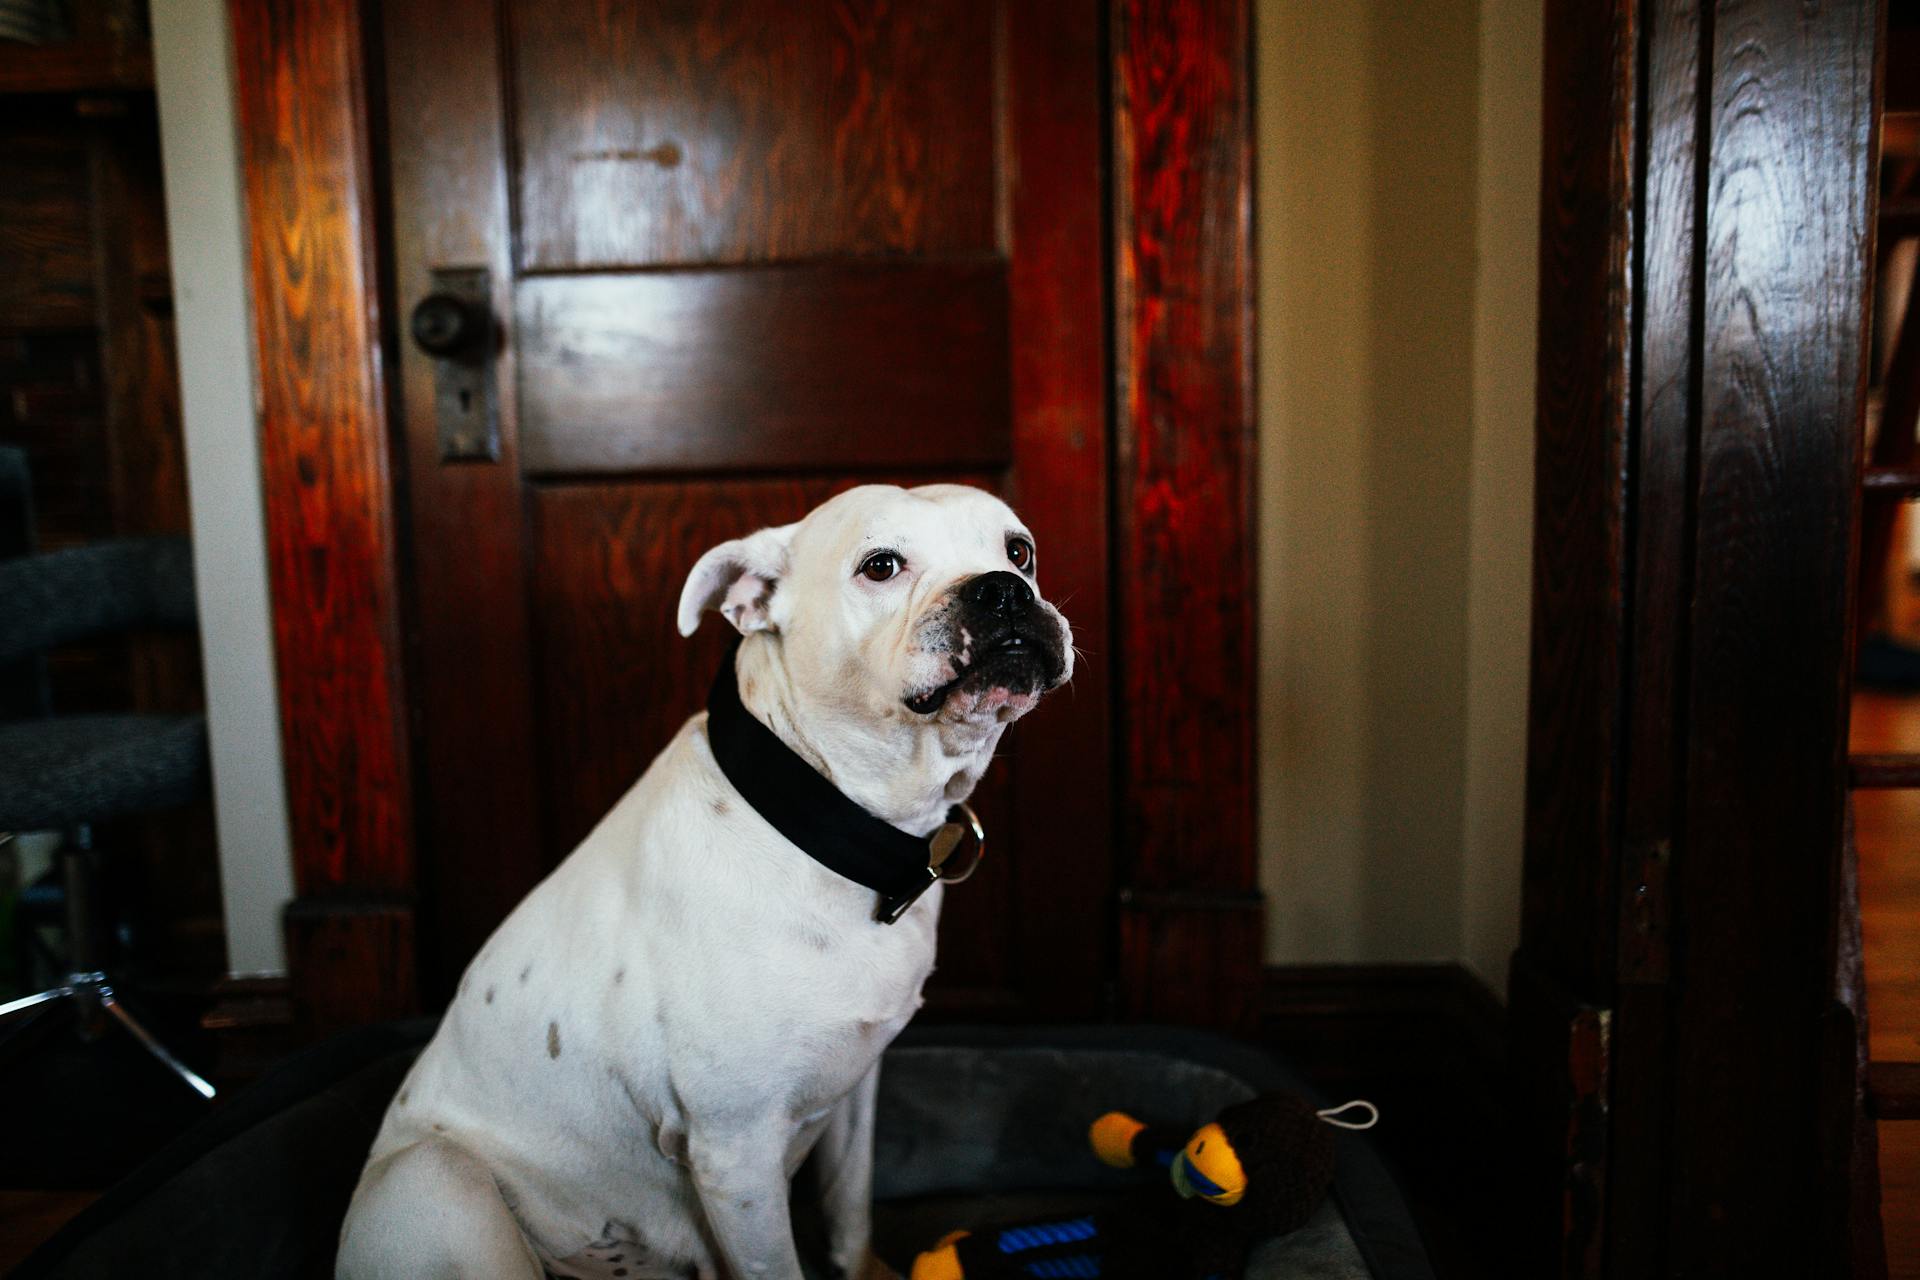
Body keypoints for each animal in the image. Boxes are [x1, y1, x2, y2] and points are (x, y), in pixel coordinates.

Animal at [337, 485, 1075, 1274]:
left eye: (1020, 551)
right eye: (880, 566)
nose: (1002, 590)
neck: (826, 821)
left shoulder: (854, 1092)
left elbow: (849, 1210)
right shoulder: (737, 1154)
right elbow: (776, 1264)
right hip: (439, 1178)